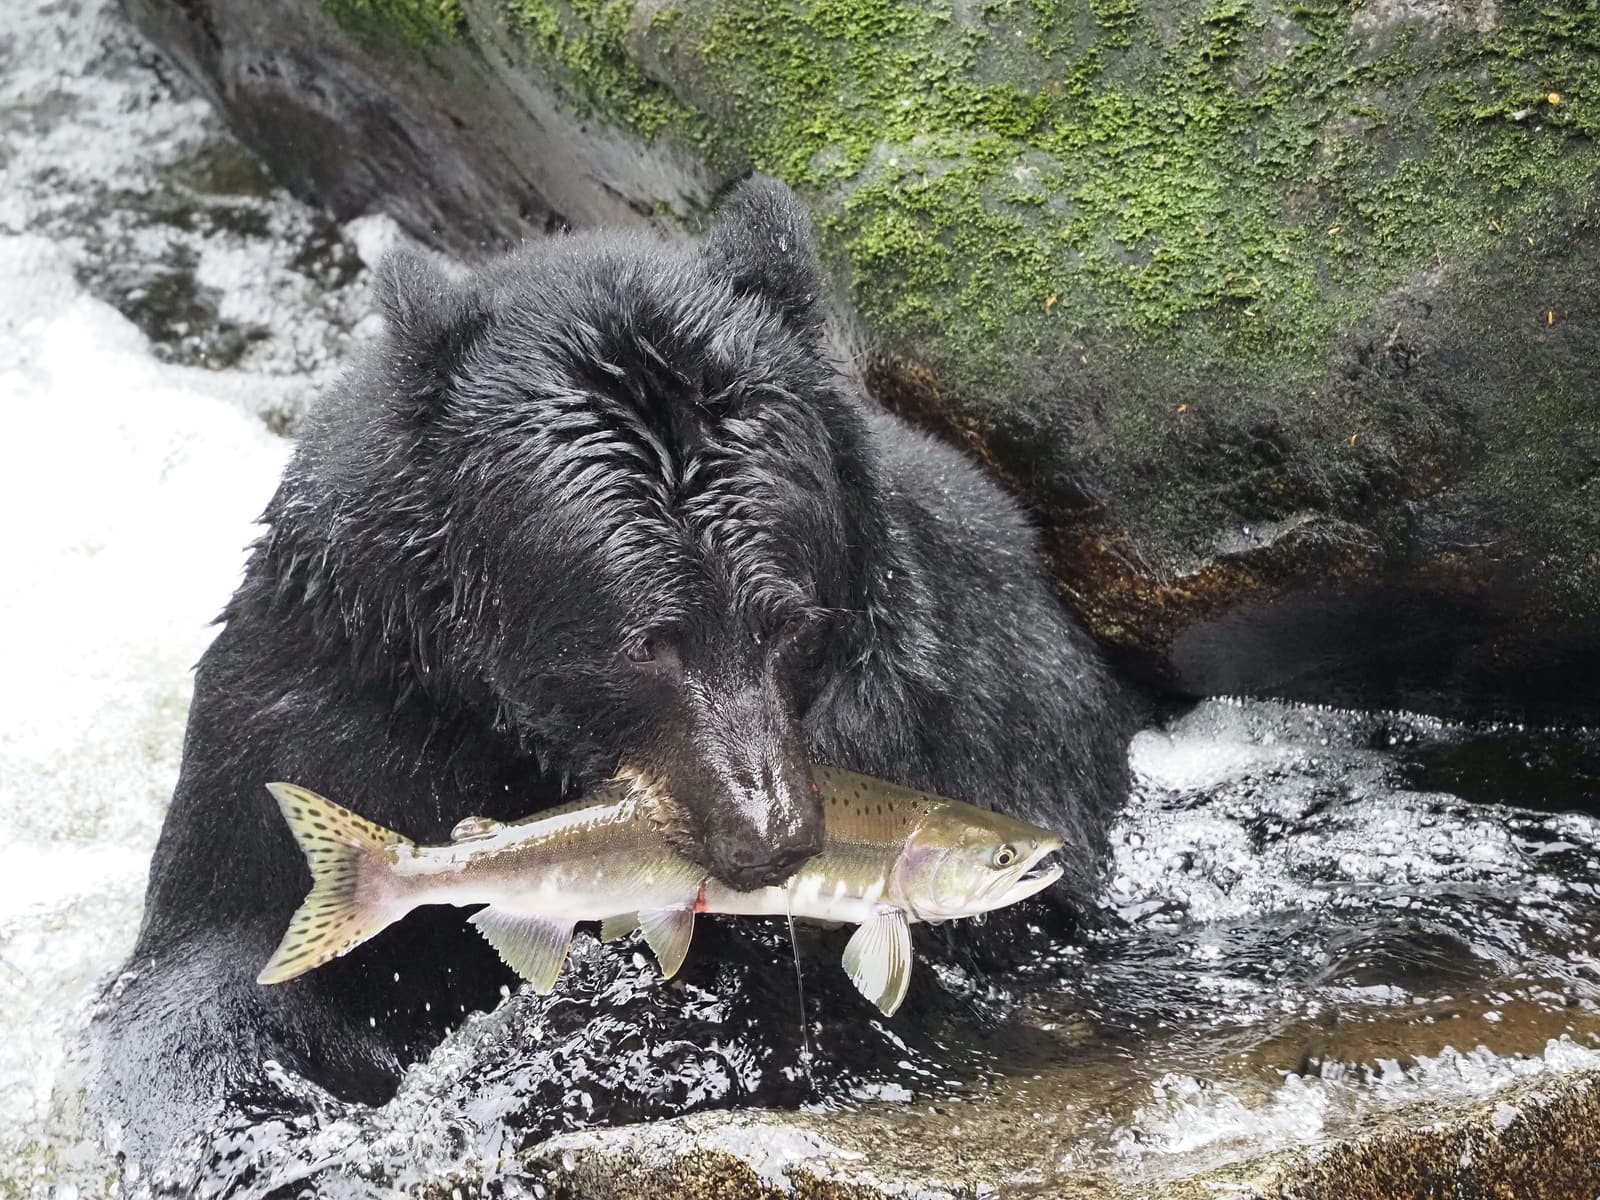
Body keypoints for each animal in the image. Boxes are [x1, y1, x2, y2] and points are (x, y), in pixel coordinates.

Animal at [89, 177, 1130, 1163]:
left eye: (787, 624)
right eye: (646, 643)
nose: (775, 841)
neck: (514, 729)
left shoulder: (920, 717)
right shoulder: (335, 686)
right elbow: (228, 940)